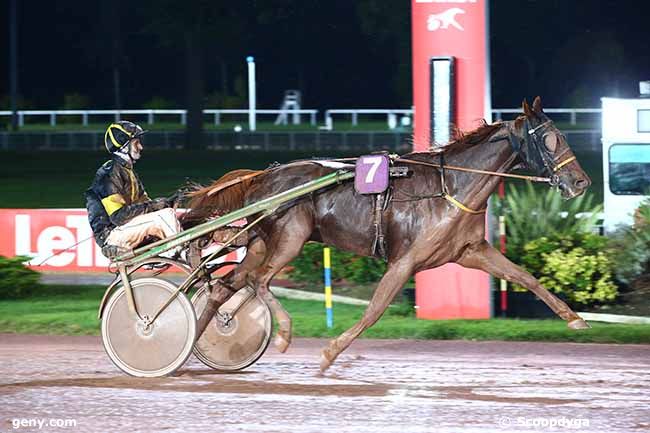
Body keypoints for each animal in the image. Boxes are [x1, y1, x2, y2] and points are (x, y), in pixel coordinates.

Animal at [184, 98, 592, 372]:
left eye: (561, 135)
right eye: (550, 139)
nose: (580, 182)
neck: (451, 186)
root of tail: (261, 176)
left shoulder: (471, 251)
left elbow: (525, 277)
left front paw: (574, 318)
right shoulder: (404, 261)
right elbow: (374, 311)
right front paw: (330, 352)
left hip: (259, 243)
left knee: (226, 287)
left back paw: (189, 349)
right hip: (290, 239)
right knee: (261, 281)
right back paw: (282, 332)